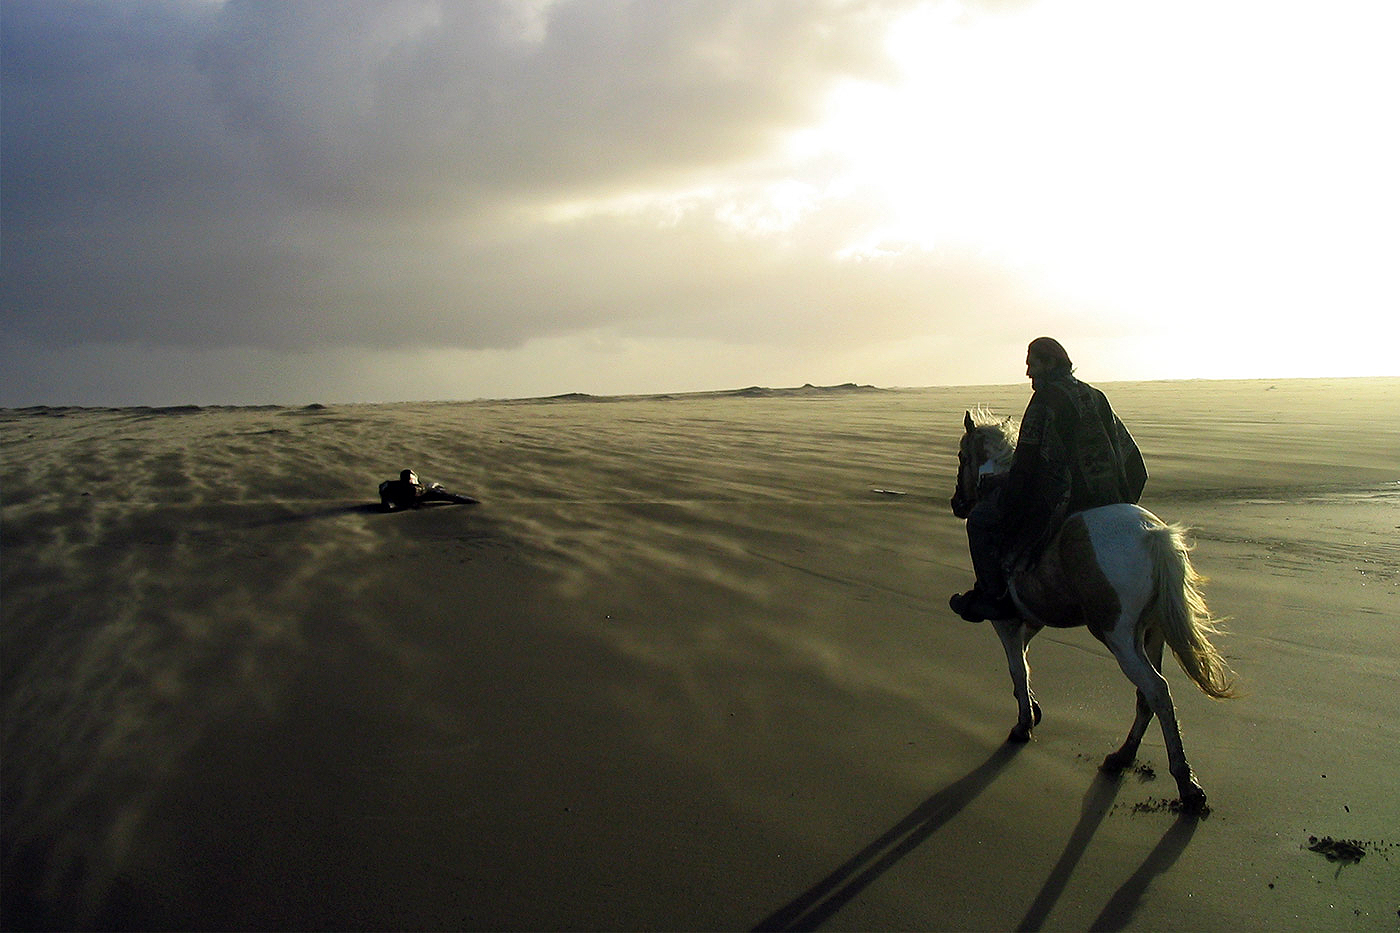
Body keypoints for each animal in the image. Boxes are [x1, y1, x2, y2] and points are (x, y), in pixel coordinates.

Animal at [952, 406, 1237, 806]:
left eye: (962, 456)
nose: (957, 504)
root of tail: (1154, 535)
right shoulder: (1032, 616)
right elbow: (1025, 660)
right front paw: (1033, 709)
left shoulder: (1005, 620)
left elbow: (1016, 668)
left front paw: (1023, 725)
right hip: (1152, 632)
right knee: (1147, 696)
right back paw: (1123, 757)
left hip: (1117, 635)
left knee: (1156, 690)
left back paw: (1186, 784)